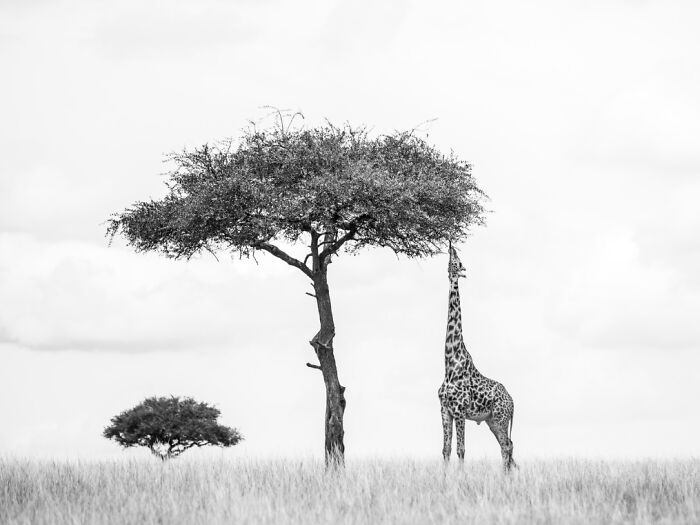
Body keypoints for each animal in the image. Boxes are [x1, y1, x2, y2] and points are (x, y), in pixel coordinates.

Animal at [438, 244, 517, 471]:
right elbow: (446, 449)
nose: (451, 246)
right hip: (492, 421)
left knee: (507, 446)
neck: (450, 364)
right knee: (508, 446)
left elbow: (461, 450)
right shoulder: (444, 410)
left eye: (457, 262)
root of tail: (512, 400)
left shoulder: (459, 411)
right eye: (451, 261)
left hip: (500, 418)